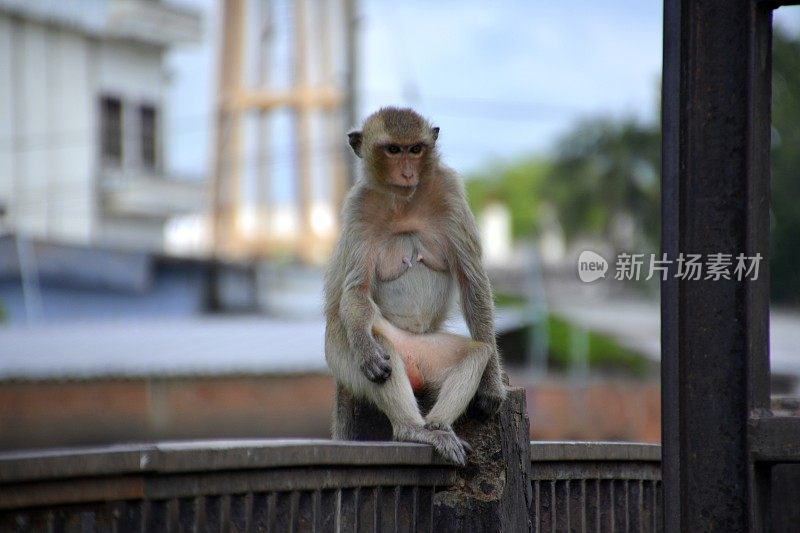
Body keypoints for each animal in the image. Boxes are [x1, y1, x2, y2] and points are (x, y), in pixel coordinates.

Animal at [324, 106, 506, 464]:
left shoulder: (449, 191)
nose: (407, 173)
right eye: (394, 150)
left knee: (476, 351)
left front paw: (492, 384)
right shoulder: (358, 206)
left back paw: (437, 426)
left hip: (427, 353)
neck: (404, 201)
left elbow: (473, 282)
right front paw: (367, 348)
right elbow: (356, 290)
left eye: (415, 149)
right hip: (340, 354)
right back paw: (412, 429)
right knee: (377, 341)